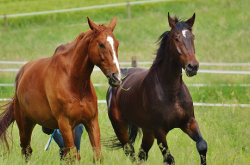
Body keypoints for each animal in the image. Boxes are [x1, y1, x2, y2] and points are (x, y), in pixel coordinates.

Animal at [0, 17, 121, 162]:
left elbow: (97, 156)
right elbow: (74, 156)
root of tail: (21, 75)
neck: (75, 82)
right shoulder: (64, 123)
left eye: (117, 44)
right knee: (26, 151)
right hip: (25, 126)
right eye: (101, 44)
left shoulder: (91, 122)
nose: (116, 77)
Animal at [105, 13, 207, 164]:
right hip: (121, 128)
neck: (171, 91)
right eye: (176, 38)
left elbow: (202, 146)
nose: (192, 67)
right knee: (131, 153)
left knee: (141, 155)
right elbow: (169, 158)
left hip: (148, 132)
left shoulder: (189, 122)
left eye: (192, 37)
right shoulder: (160, 130)